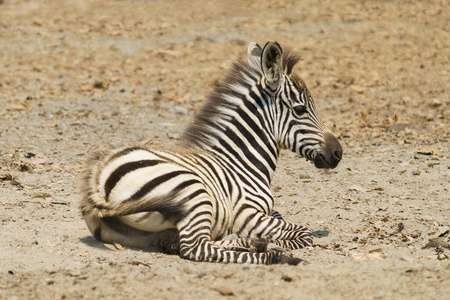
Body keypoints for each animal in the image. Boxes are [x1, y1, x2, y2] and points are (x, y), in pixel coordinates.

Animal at [80, 40, 342, 264]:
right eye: (300, 109)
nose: (338, 152)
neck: (241, 162)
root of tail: (98, 185)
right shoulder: (247, 214)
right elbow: (304, 233)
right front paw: (269, 242)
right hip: (193, 192)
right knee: (196, 248)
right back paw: (272, 254)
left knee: (184, 243)